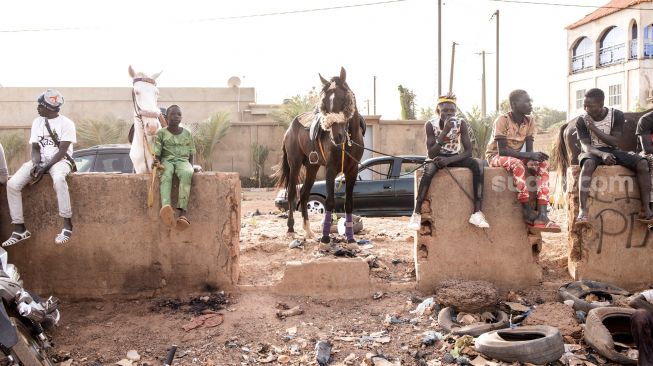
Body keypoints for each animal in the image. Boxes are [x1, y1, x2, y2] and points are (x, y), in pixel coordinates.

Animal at [272, 67, 364, 244]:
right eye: (325, 103)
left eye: (343, 98)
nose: (337, 136)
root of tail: (291, 127)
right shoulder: (330, 169)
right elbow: (329, 202)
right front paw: (326, 238)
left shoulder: (352, 170)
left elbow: (349, 203)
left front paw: (350, 239)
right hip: (295, 164)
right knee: (292, 194)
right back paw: (291, 230)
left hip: (312, 167)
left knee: (304, 194)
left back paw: (308, 231)